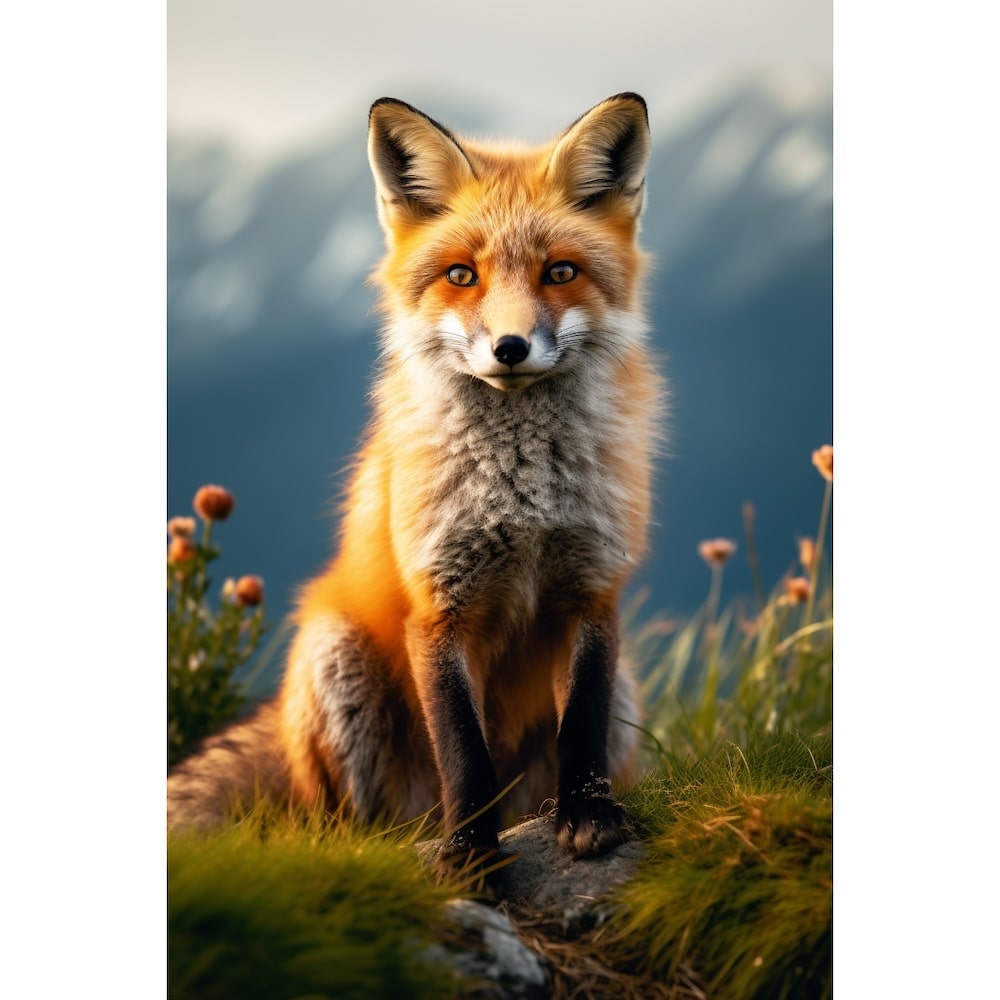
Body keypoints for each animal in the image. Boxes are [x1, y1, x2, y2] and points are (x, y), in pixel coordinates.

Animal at [167, 93, 662, 876]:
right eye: (462, 275)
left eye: (560, 272)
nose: (510, 347)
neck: (522, 499)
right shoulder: (439, 605)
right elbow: (464, 750)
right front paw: (470, 854)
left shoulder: (592, 592)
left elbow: (578, 728)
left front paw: (588, 819)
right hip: (336, 664)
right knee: (353, 828)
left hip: (626, 690)